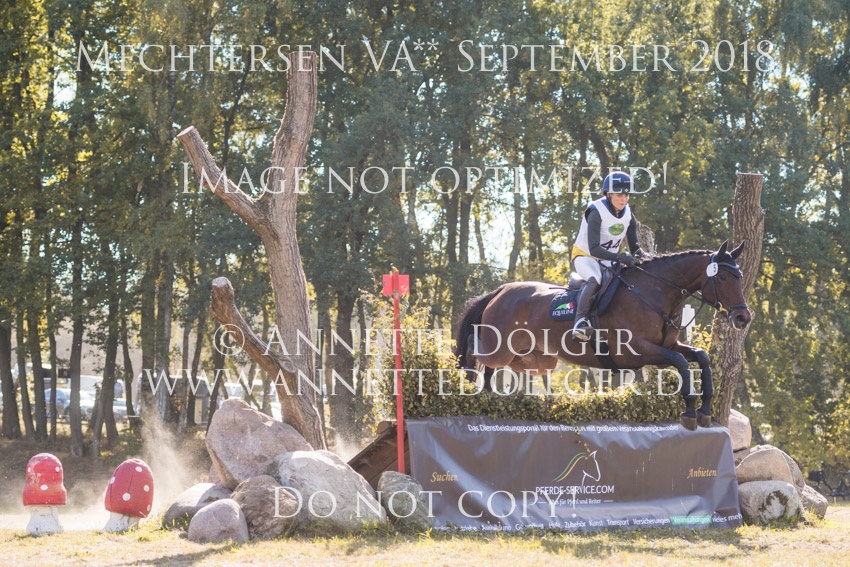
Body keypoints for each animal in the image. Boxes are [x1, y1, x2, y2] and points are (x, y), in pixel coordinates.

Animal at [454, 241, 752, 430]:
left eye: (739, 276)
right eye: (723, 278)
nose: (743, 317)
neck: (655, 293)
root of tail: (501, 290)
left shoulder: (664, 348)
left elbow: (700, 357)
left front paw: (705, 409)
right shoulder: (636, 350)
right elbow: (681, 362)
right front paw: (690, 410)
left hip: (533, 357)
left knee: (492, 368)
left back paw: (487, 396)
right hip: (500, 346)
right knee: (473, 347)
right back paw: (468, 382)